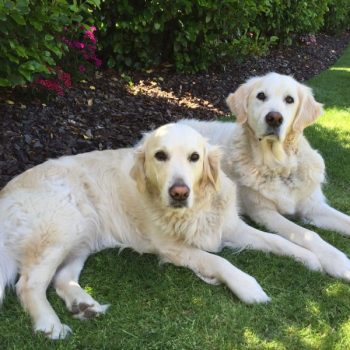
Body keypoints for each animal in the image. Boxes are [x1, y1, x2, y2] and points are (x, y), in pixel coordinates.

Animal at [0, 123, 322, 340]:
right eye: (160, 156)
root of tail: (5, 193)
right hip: (62, 229)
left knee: (61, 278)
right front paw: (248, 287)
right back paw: (49, 324)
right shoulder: (172, 248)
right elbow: (218, 260)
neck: (195, 208)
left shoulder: (229, 226)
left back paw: (84, 304)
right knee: (28, 284)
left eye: (194, 157)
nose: (179, 192)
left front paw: (310, 258)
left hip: (84, 235)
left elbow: (277, 240)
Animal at [182, 72, 350, 282]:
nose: (274, 118)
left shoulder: (312, 205)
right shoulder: (263, 212)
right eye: (261, 96)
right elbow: (306, 233)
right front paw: (338, 261)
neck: (280, 168)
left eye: (289, 99)